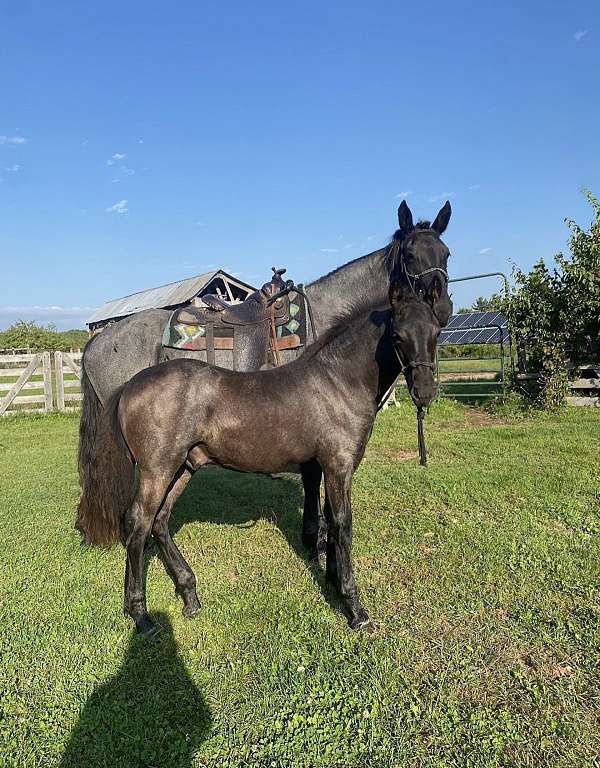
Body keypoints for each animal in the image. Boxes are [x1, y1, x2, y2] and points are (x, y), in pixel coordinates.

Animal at [76, 270, 445, 637]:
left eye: (436, 330)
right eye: (397, 334)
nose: (424, 391)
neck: (336, 381)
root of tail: (130, 385)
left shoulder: (326, 468)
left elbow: (329, 521)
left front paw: (332, 581)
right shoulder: (338, 467)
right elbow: (342, 526)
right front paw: (355, 608)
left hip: (182, 467)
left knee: (159, 521)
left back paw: (189, 595)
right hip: (158, 470)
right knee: (137, 523)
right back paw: (141, 616)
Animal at [77, 200, 454, 557]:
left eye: (446, 253)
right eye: (409, 255)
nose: (443, 309)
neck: (321, 315)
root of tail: (97, 341)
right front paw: (317, 538)